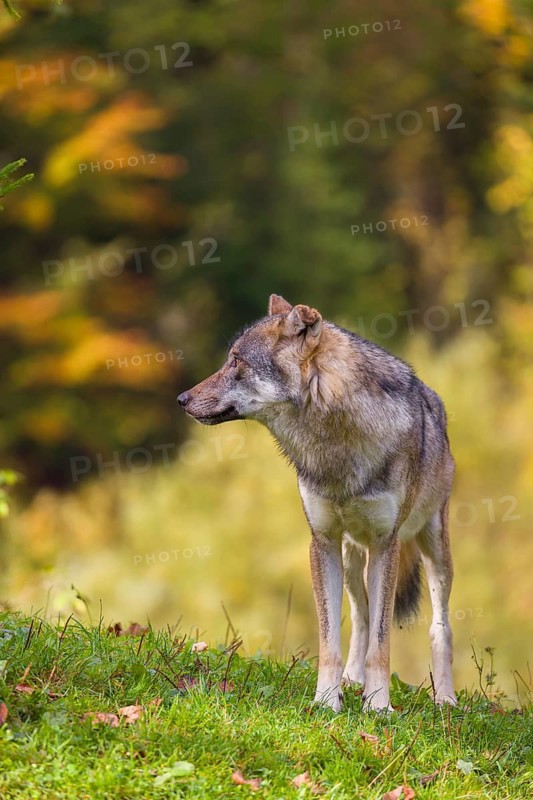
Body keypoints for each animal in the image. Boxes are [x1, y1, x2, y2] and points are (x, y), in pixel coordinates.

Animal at [177, 295, 456, 711]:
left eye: (236, 361)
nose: (181, 399)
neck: (335, 445)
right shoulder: (322, 542)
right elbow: (330, 640)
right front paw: (327, 700)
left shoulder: (386, 544)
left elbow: (382, 643)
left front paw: (379, 705)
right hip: (352, 557)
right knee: (361, 615)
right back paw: (353, 680)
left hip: (433, 551)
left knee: (441, 626)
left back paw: (447, 698)